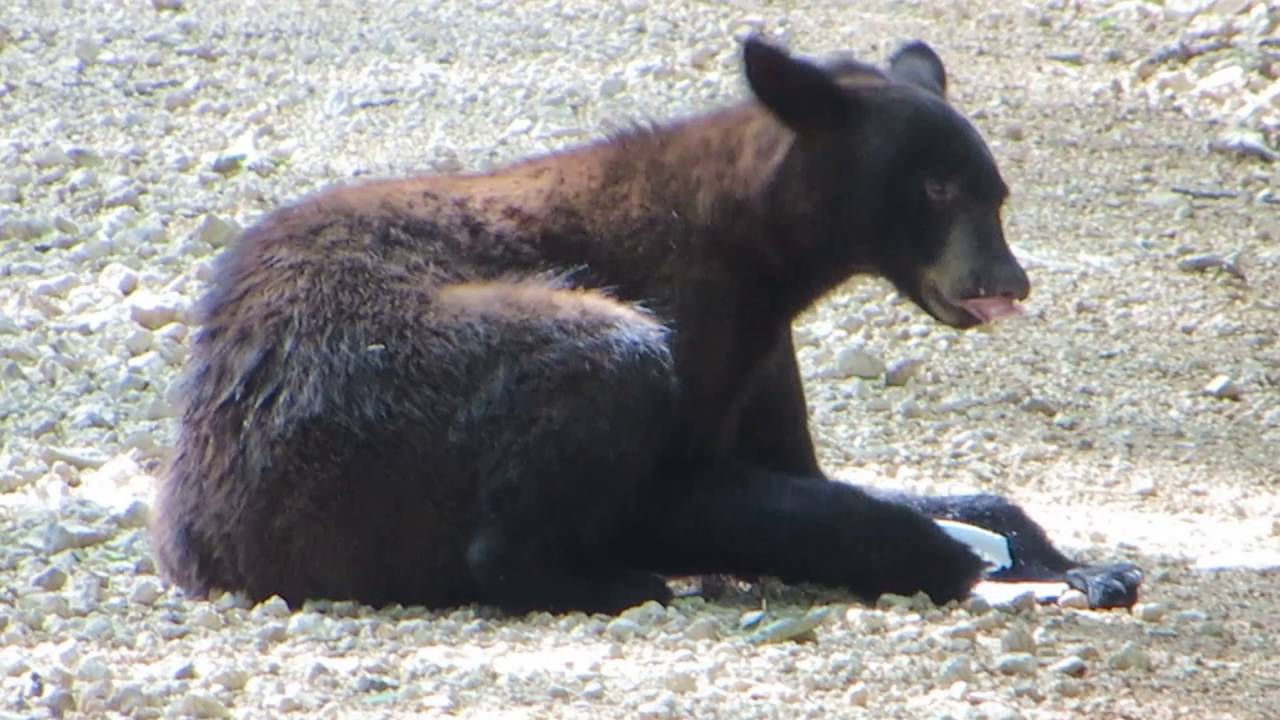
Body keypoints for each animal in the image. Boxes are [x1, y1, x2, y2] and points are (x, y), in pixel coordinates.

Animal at [152, 37, 1142, 615]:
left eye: (996, 193)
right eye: (936, 188)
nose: (1007, 281)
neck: (755, 250)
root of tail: (194, 529)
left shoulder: (762, 354)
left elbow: (816, 475)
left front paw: (1065, 558)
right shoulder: (694, 311)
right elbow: (690, 491)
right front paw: (942, 559)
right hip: (391, 381)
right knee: (588, 373)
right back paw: (609, 580)